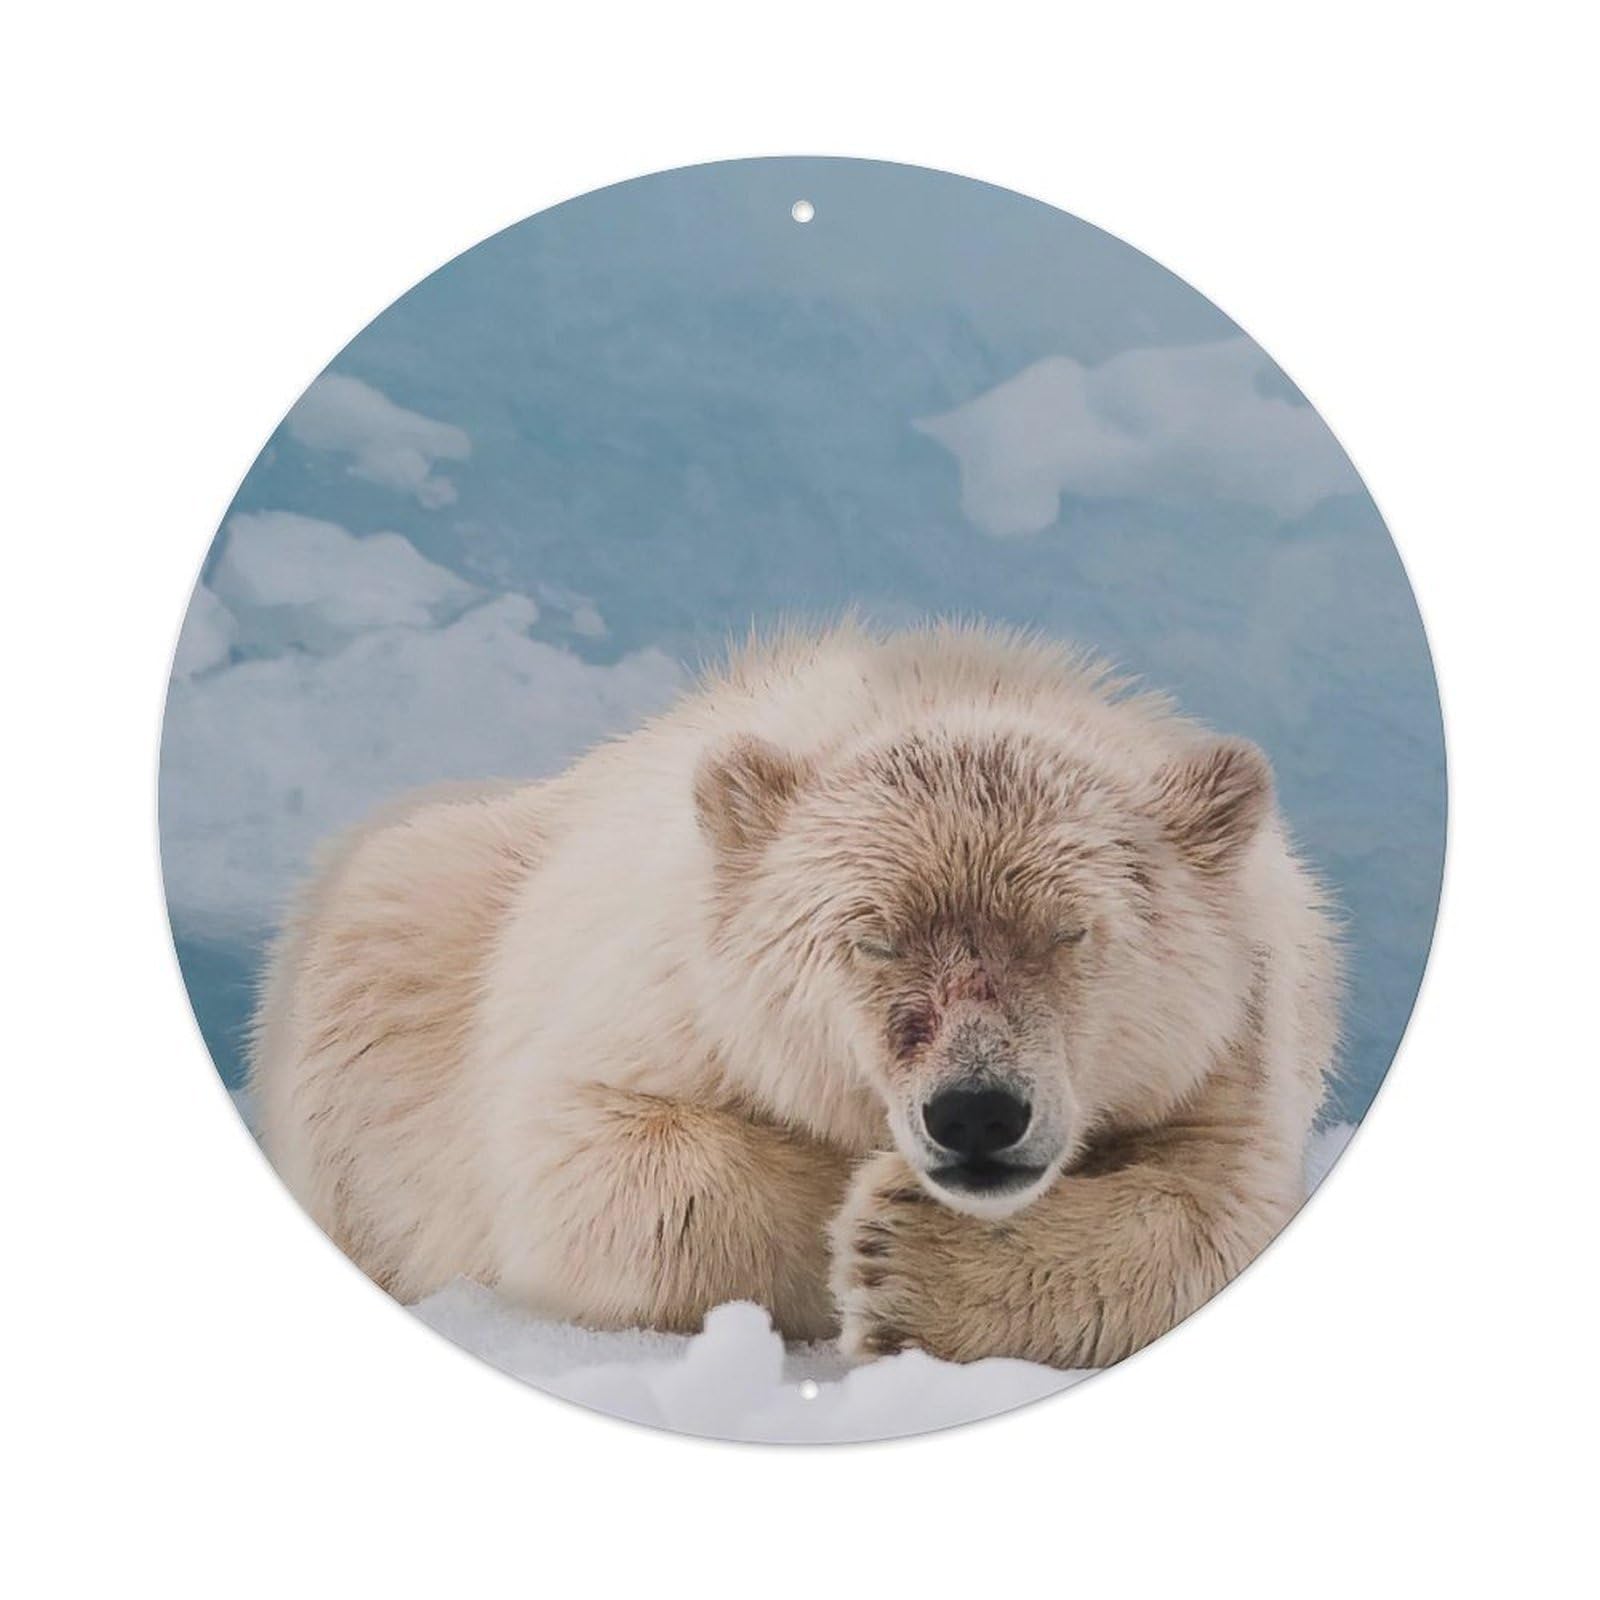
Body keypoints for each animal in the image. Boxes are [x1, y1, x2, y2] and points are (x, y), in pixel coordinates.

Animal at [251, 620, 1339, 1368]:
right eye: (872, 937)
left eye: (1070, 933)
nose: (977, 1112)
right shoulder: (665, 989)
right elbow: (590, 1167)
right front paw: (860, 1218)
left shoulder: (1234, 1036)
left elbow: (1217, 1212)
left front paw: (906, 1256)